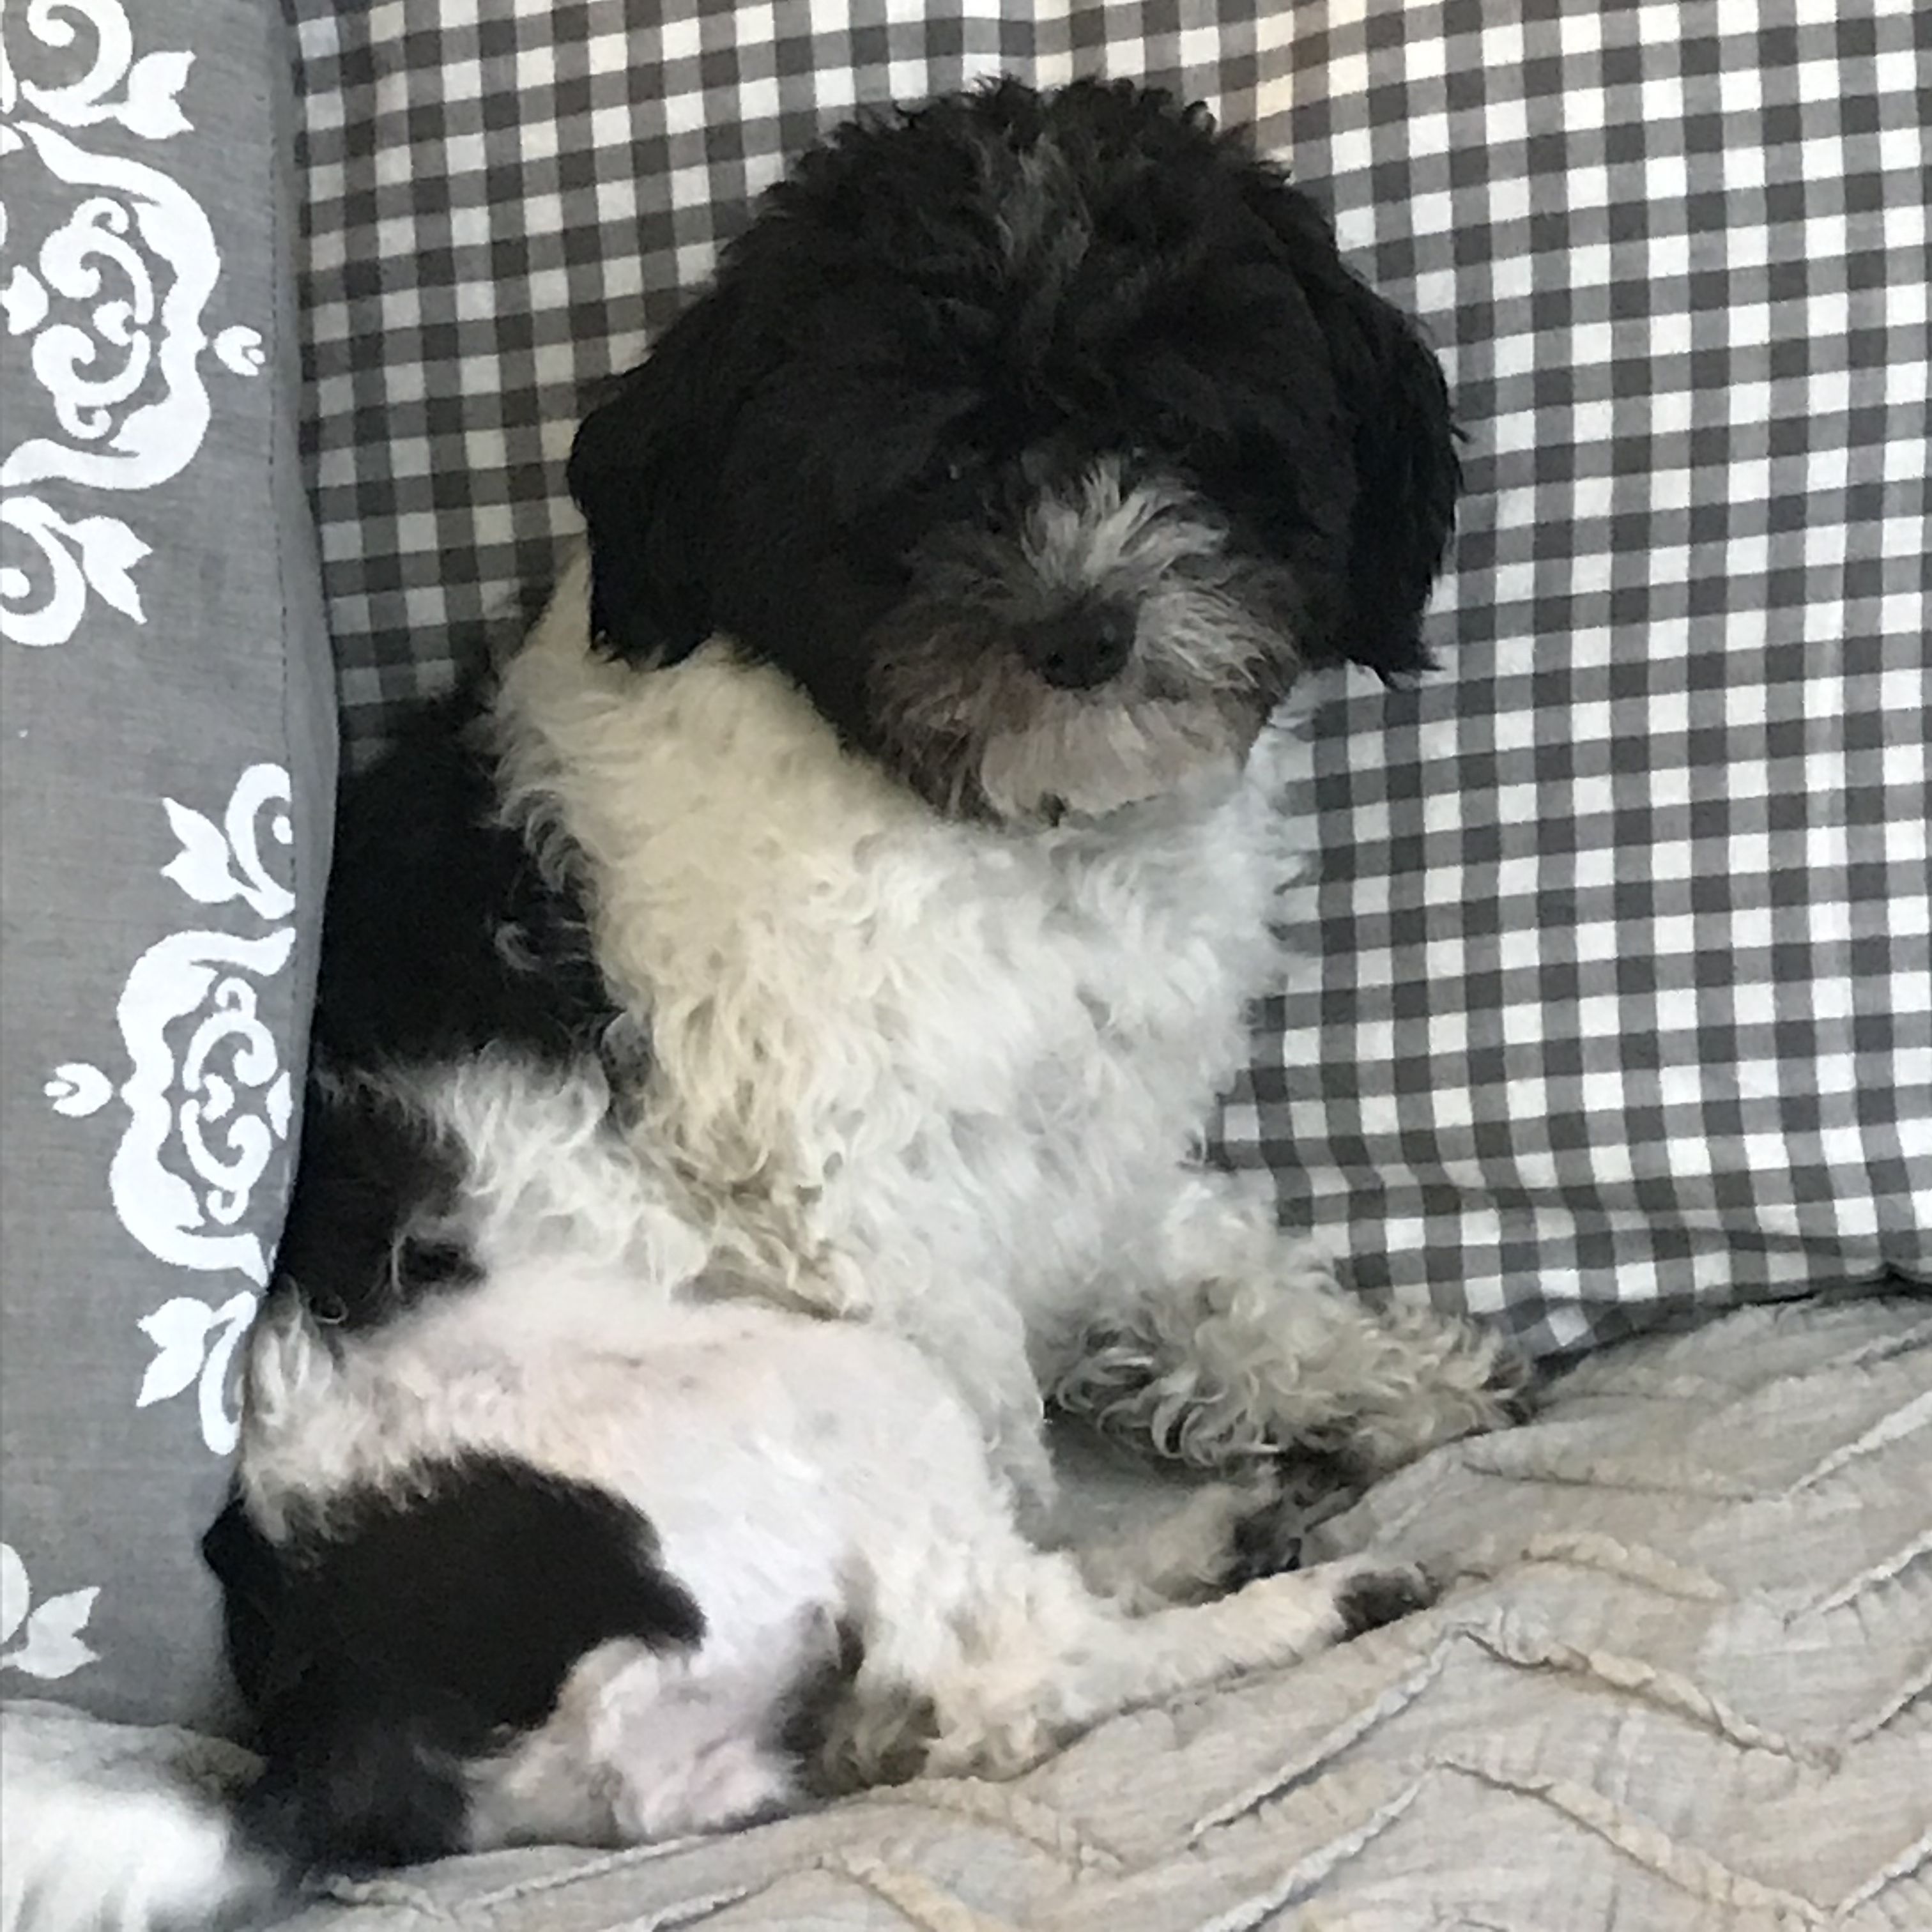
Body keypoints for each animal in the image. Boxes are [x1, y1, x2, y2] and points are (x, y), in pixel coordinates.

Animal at [3, 78, 1521, 1931]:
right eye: (938, 461)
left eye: (1185, 428)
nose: (1086, 628)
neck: (1001, 828)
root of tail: (351, 1731)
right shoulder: (867, 1196)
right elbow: (1019, 1452)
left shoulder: (1084, 1133)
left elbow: (1212, 1262)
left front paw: (1377, 1380)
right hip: (828, 1391)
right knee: (1001, 1669)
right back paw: (1275, 1596)